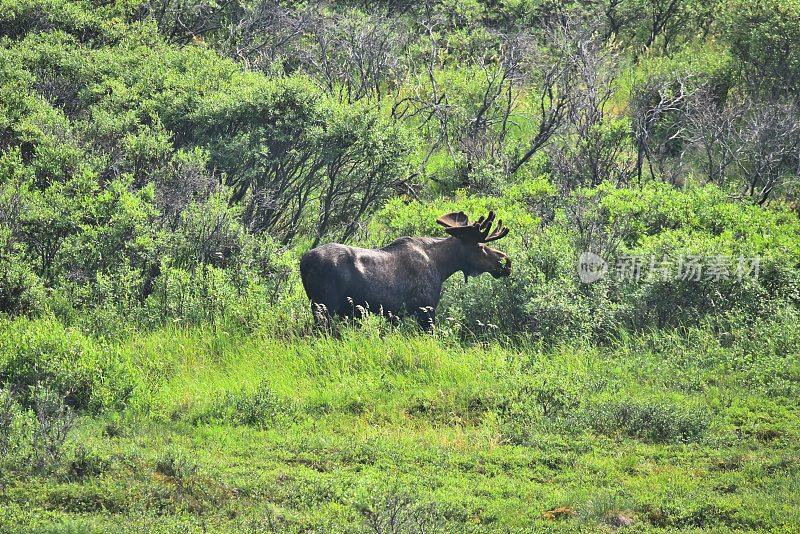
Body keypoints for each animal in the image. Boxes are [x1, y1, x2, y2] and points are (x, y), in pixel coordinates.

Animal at [300, 210, 512, 328]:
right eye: (480, 246)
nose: (506, 263)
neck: (442, 266)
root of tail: (303, 262)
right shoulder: (426, 310)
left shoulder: (394, 316)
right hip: (324, 307)